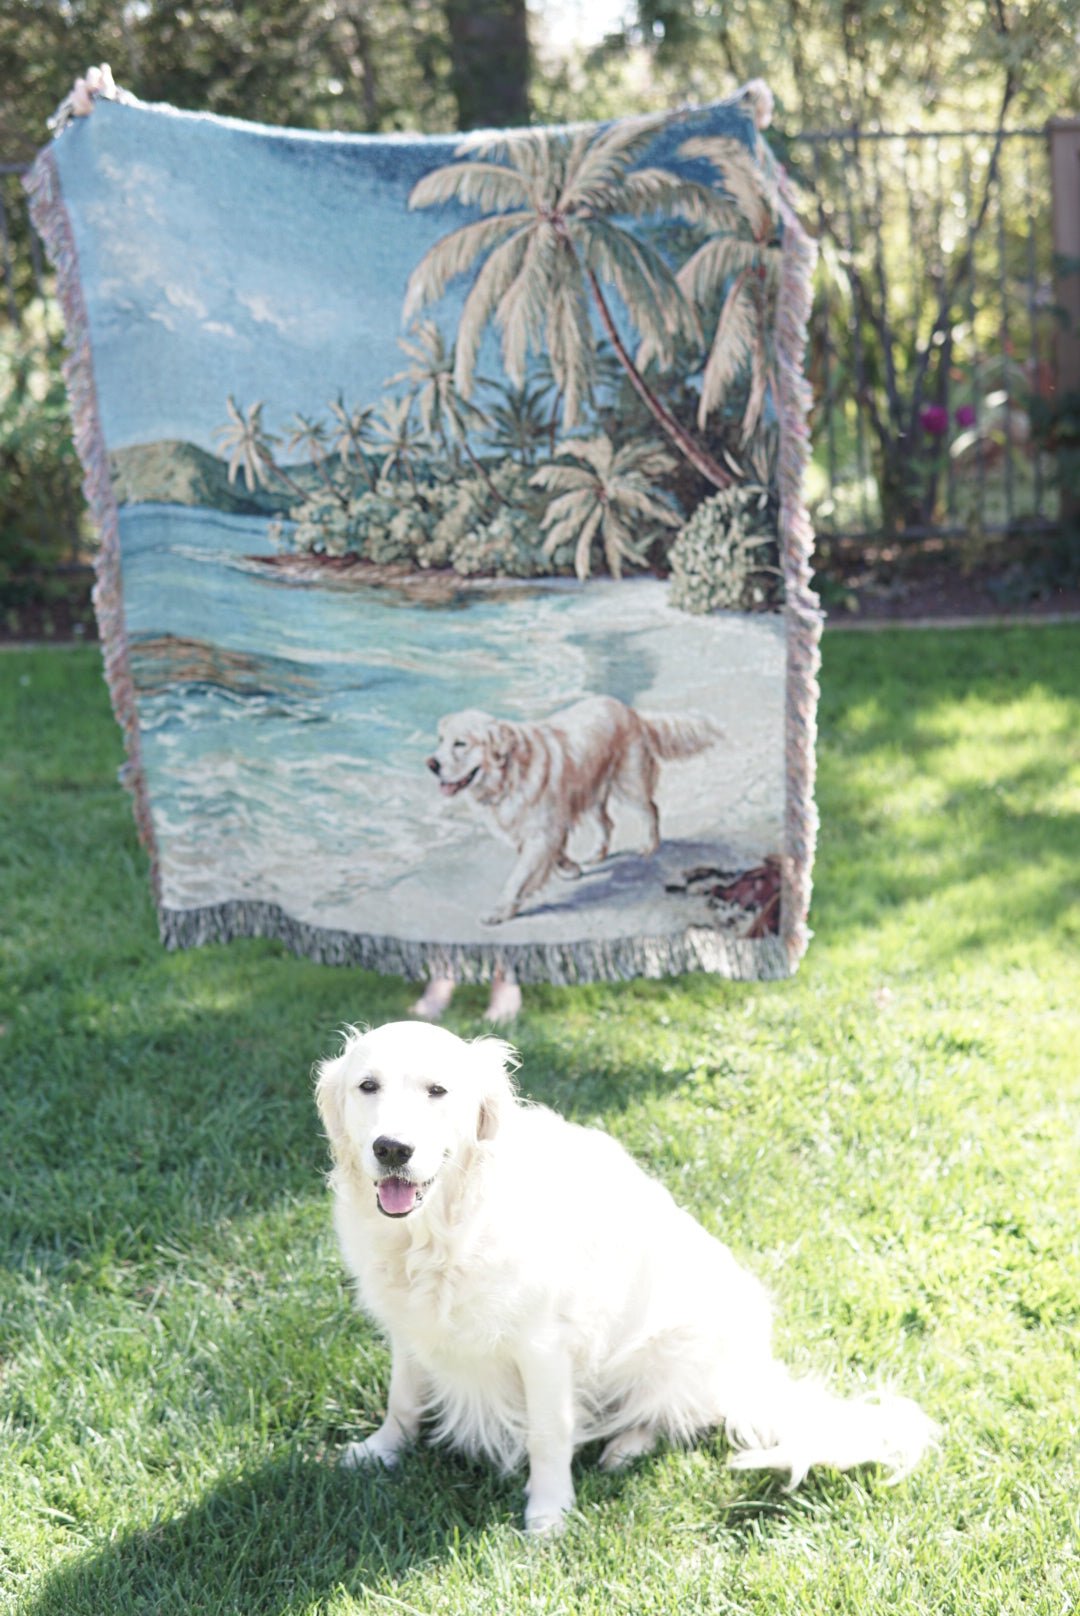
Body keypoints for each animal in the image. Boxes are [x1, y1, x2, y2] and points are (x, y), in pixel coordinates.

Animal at [313, 1027, 937, 1531]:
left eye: (438, 1091)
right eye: (367, 1086)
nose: (392, 1148)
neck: (439, 1231)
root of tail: (753, 1372)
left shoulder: (543, 1346)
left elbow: (548, 1433)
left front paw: (549, 1512)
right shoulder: (409, 1328)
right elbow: (403, 1399)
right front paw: (380, 1451)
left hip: (673, 1345)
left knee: (678, 1416)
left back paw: (625, 1447)